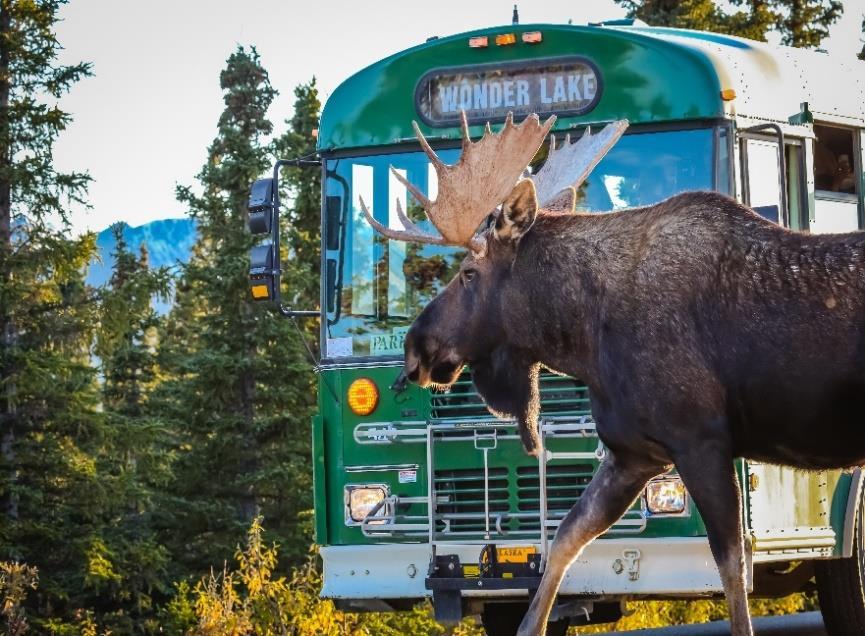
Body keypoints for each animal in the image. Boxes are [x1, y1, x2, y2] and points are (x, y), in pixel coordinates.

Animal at [358, 113, 864, 636]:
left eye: (468, 273)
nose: (415, 347)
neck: (584, 338)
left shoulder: (700, 440)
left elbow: (730, 565)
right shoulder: (632, 452)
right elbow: (565, 537)